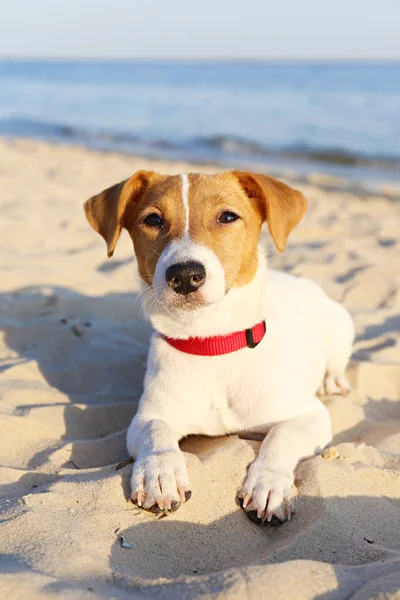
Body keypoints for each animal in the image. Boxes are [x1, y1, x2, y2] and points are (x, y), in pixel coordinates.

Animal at [84, 170, 354, 524]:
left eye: (227, 216)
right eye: (153, 219)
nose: (185, 275)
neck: (213, 343)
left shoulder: (311, 415)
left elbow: (282, 436)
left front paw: (268, 483)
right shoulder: (147, 416)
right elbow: (156, 431)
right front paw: (160, 473)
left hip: (341, 325)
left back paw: (333, 380)